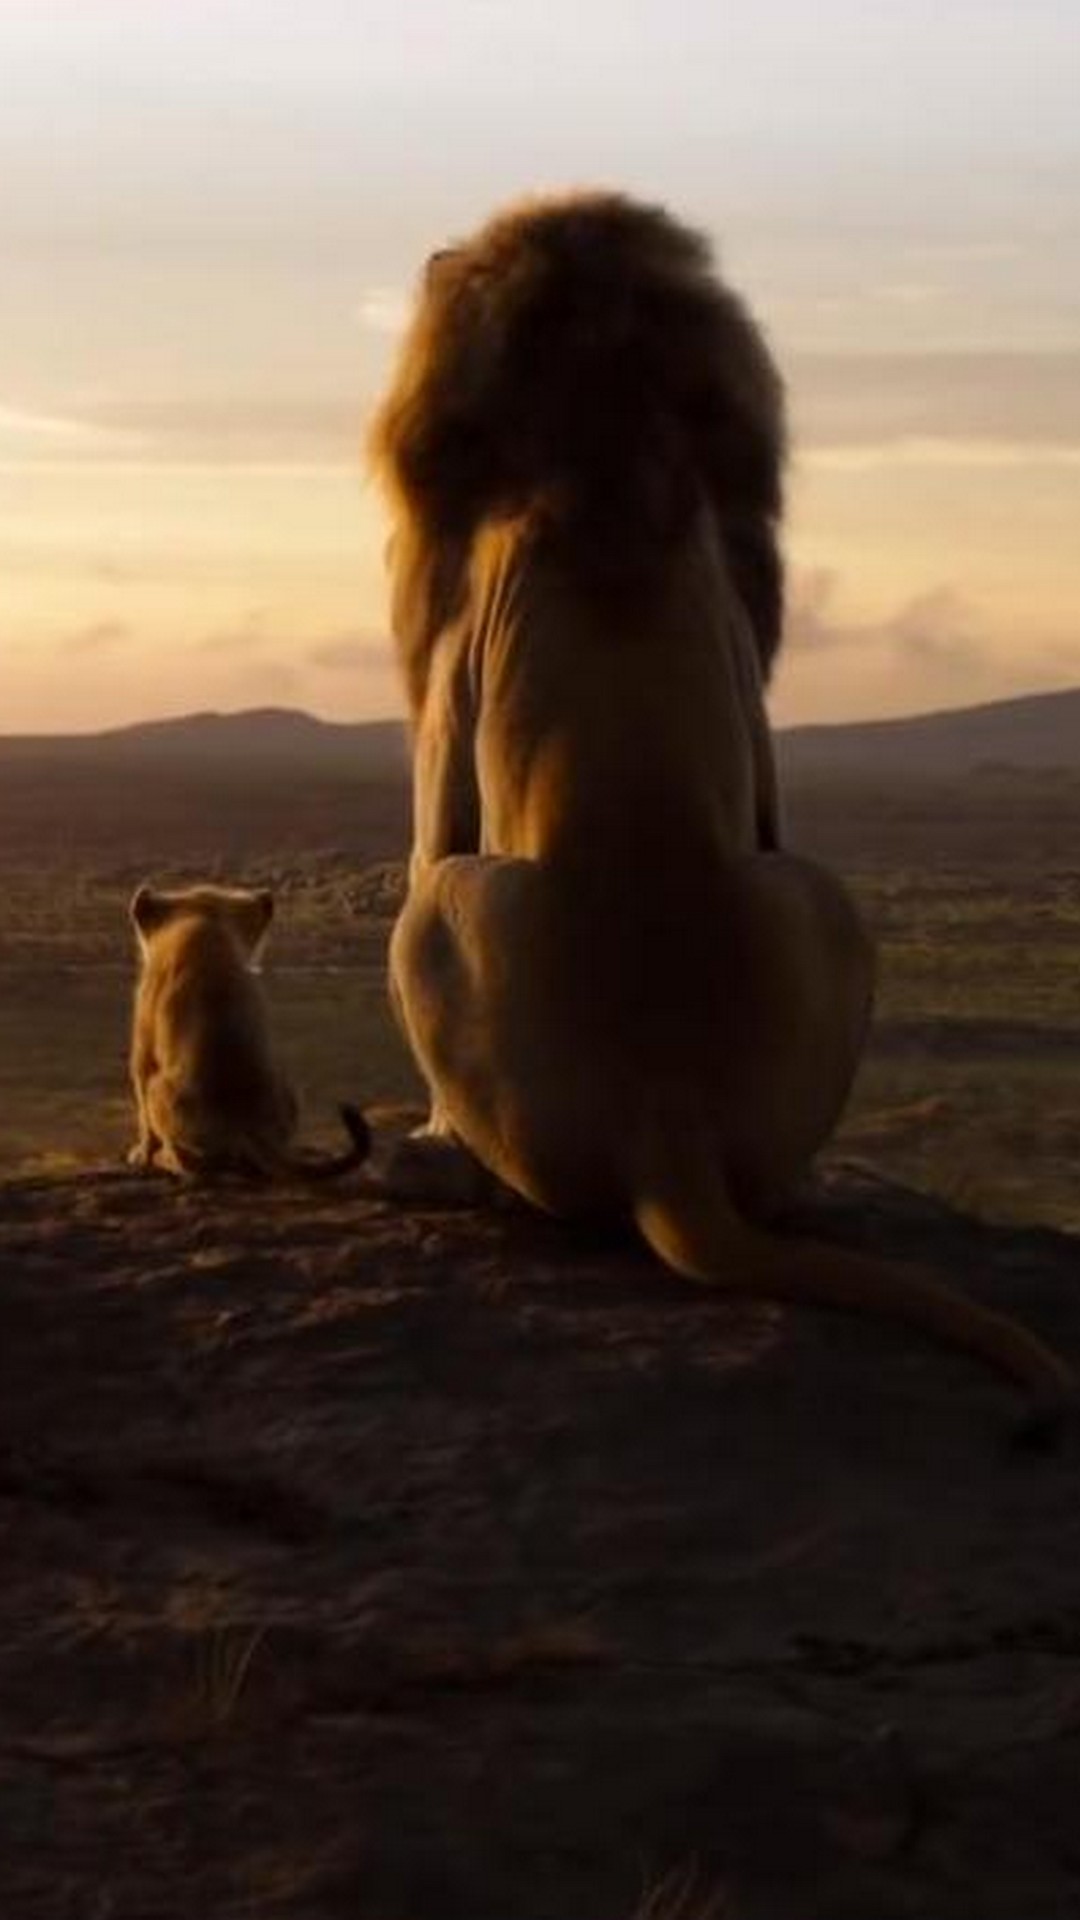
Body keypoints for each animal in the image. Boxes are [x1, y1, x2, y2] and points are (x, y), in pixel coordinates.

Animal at [128, 883, 369, 1180]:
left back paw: (167, 1159)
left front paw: (141, 1155)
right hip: (288, 1091)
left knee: (192, 1162)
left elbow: (143, 1116)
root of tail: (245, 1126)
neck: (202, 926)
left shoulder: (143, 1049)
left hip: (159, 1089)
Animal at [368, 190, 1072, 1422]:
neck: (605, 430)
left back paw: (435, 1169)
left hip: (443, 918)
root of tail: (671, 1120)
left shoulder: (450, 678)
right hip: (825, 895)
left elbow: (427, 824)